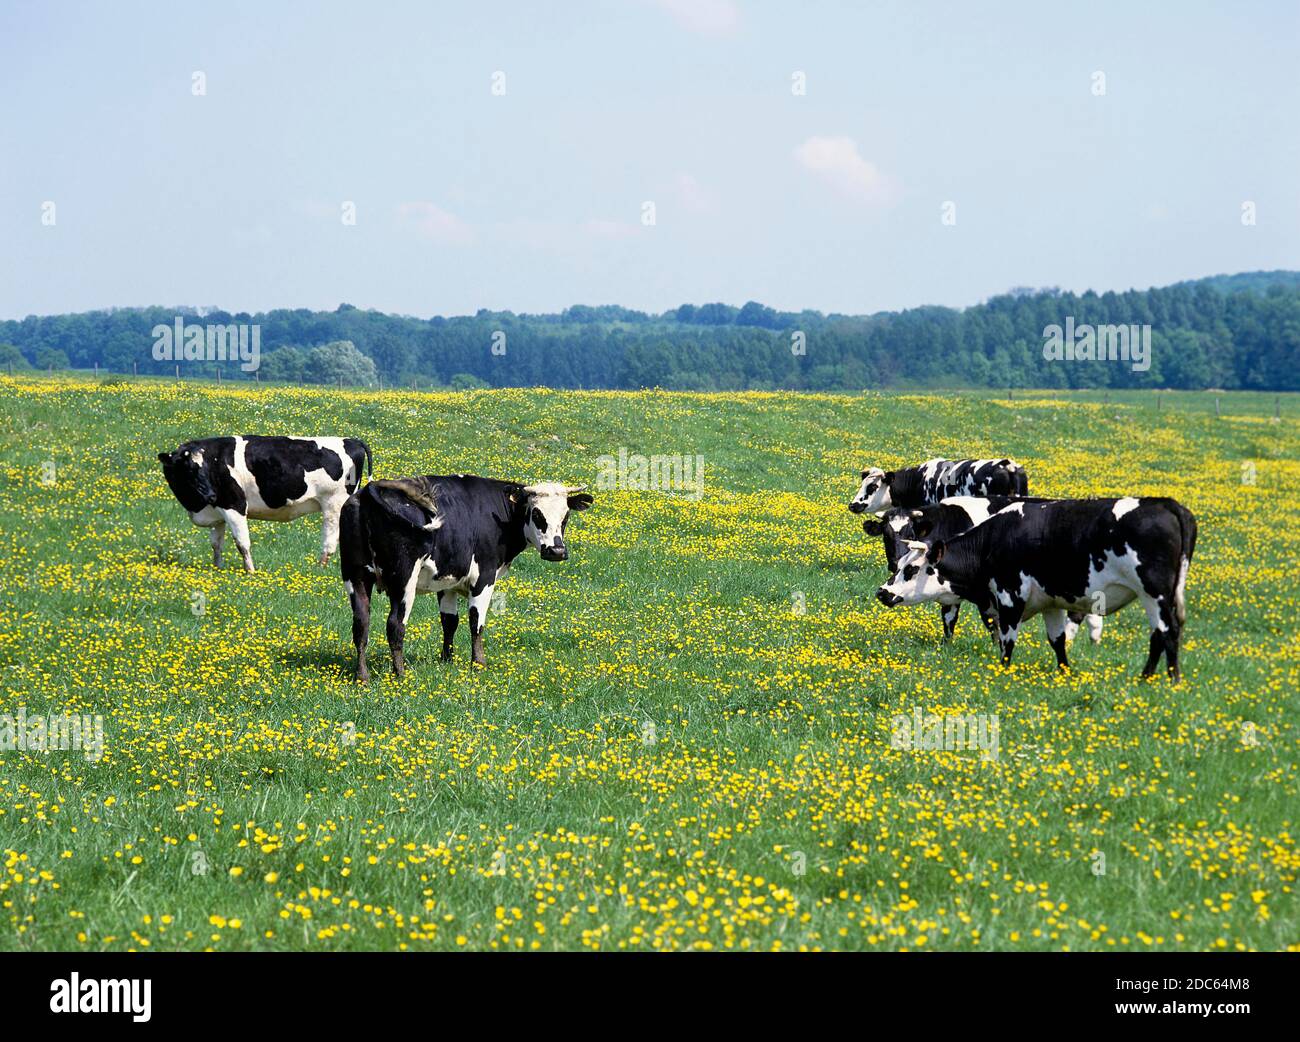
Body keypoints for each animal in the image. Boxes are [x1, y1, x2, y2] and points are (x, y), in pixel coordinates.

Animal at [158, 435, 372, 572]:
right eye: (188, 468)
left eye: (204, 467)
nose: (211, 494)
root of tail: (351, 440)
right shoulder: (218, 512)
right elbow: (216, 544)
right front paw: (217, 568)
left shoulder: (234, 505)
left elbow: (242, 543)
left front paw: (250, 571)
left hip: (334, 503)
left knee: (330, 540)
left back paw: (320, 567)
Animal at [339, 475, 593, 680]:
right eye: (536, 513)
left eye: (565, 516)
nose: (556, 551)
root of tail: (370, 489)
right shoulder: (484, 578)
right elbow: (476, 622)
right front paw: (478, 664)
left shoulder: (447, 580)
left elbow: (449, 621)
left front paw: (447, 659)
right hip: (403, 580)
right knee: (395, 626)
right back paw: (400, 674)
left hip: (355, 576)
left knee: (361, 624)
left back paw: (363, 676)